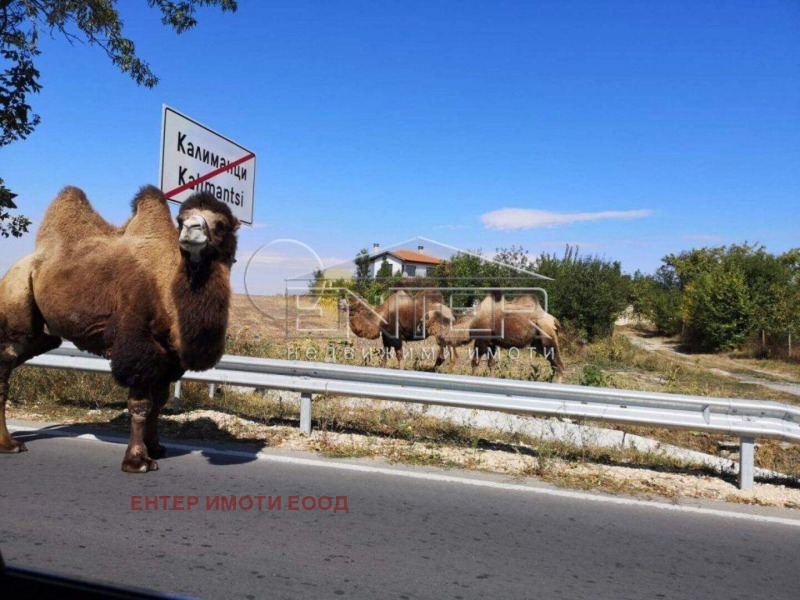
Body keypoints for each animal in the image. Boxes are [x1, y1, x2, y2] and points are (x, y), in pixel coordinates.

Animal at [0, 185, 239, 472]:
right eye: (181, 220)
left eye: (221, 223)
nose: (190, 229)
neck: (166, 287)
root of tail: (15, 268)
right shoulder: (137, 345)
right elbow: (140, 405)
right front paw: (137, 460)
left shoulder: (168, 357)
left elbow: (159, 403)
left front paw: (156, 448)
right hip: (16, 301)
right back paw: (9, 444)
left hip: (42, 335)